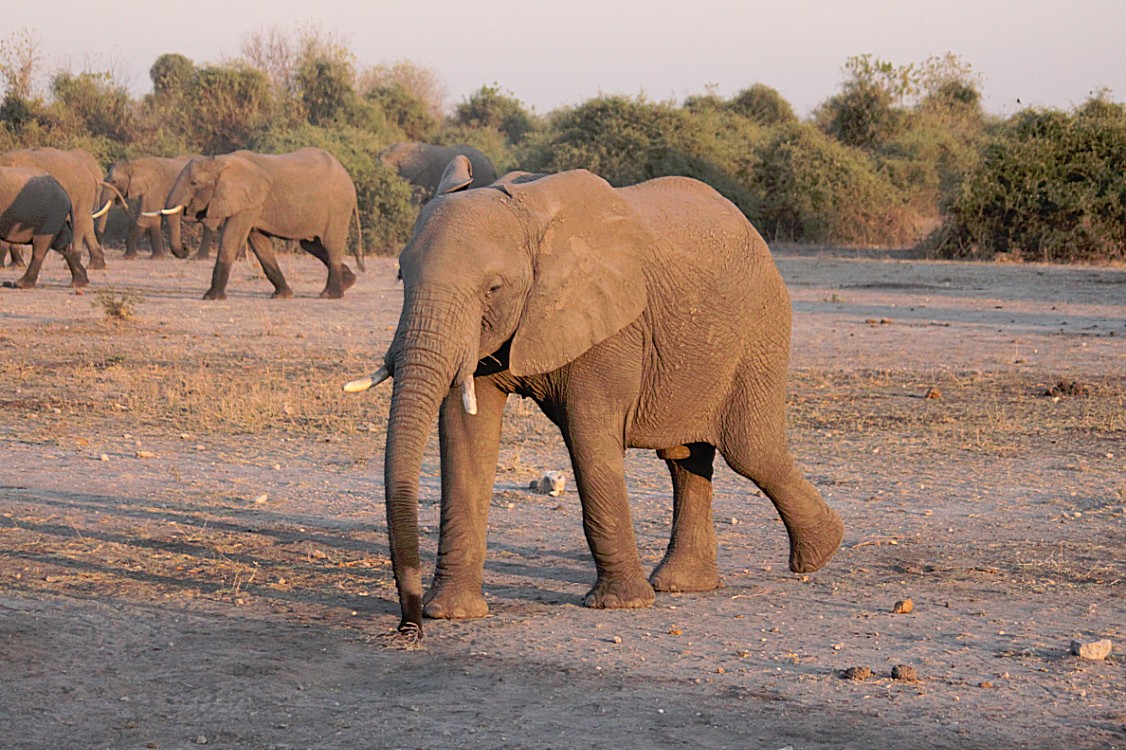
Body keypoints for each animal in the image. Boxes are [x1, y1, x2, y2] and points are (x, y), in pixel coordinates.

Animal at [163, 147, 362, 299]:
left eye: (194, 183)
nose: (185, 248)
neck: (222, 160)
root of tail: (348, 176)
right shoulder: (253, 204)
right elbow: (260, 244)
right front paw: (282, 296)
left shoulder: (249, 203)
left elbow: (232, 239)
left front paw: (211, 297)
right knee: (311, 244)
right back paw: (349, 281)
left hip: (338, 208)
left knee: (331, 244)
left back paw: (330, 295)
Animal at [342, 162, 846, 630]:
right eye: (402, 276)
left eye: (493, 288)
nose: (409, 625)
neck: (530, 222)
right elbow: (466, 434)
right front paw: (451, 613)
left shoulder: (611, 325)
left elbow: (588, 434)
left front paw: (620, 604)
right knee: (685, 457)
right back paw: (682, 584)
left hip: (760, 330)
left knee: (751, 451)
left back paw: (821, 552)